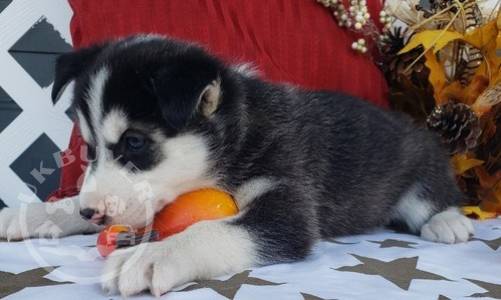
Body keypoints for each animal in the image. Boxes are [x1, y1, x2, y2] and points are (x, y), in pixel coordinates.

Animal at [0, 34, 472, 296]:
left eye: (135, 142)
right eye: (90, 147)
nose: (91, 213)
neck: (240, 132)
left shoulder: (287, 202)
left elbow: (210, 231)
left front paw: (153, 255)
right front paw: (37, 213)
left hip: (421, 164)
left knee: (434, 196)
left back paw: (448, 221)